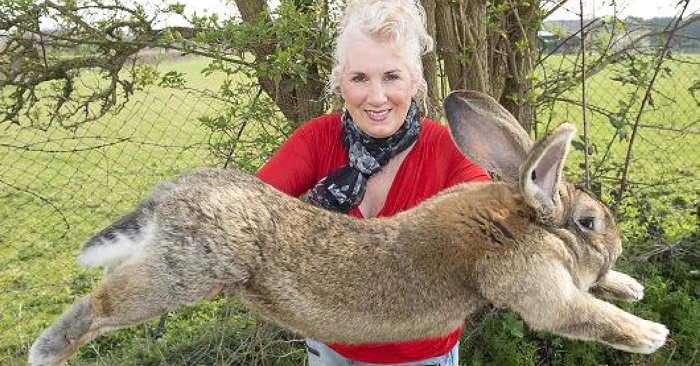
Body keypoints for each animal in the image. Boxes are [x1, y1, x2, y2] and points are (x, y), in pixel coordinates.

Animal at [30, 89, 668, 366]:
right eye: (588, 221)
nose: (615, 245)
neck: (517, 220)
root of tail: (166, 199)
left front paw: (630, 286)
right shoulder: (534, 285)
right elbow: (581, 314)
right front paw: (650, 334)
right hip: (183, 273)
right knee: (102, 304)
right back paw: (46, 351)